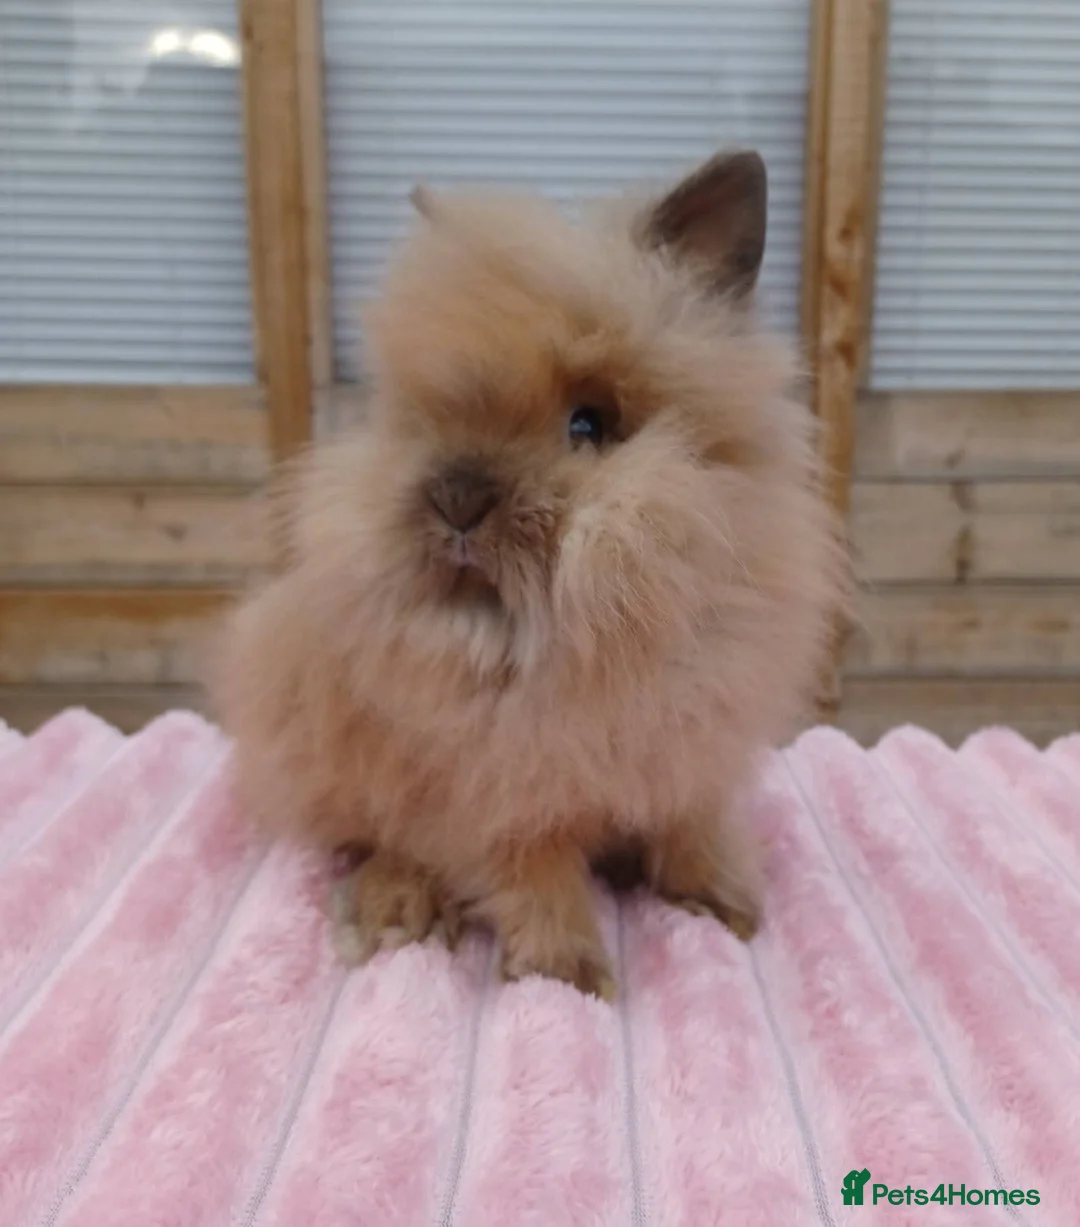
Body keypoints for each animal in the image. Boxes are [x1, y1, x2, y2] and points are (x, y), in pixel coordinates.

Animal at [213, 150, 847, 1000]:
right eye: (422, 417)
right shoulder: (500, 804)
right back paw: (392, 914)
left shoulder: (693, 759)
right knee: (382, 840)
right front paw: (570, 979)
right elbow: (535, 880)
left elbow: (693, 831)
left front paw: (724, 909)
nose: (455, 499)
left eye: (589, 424)